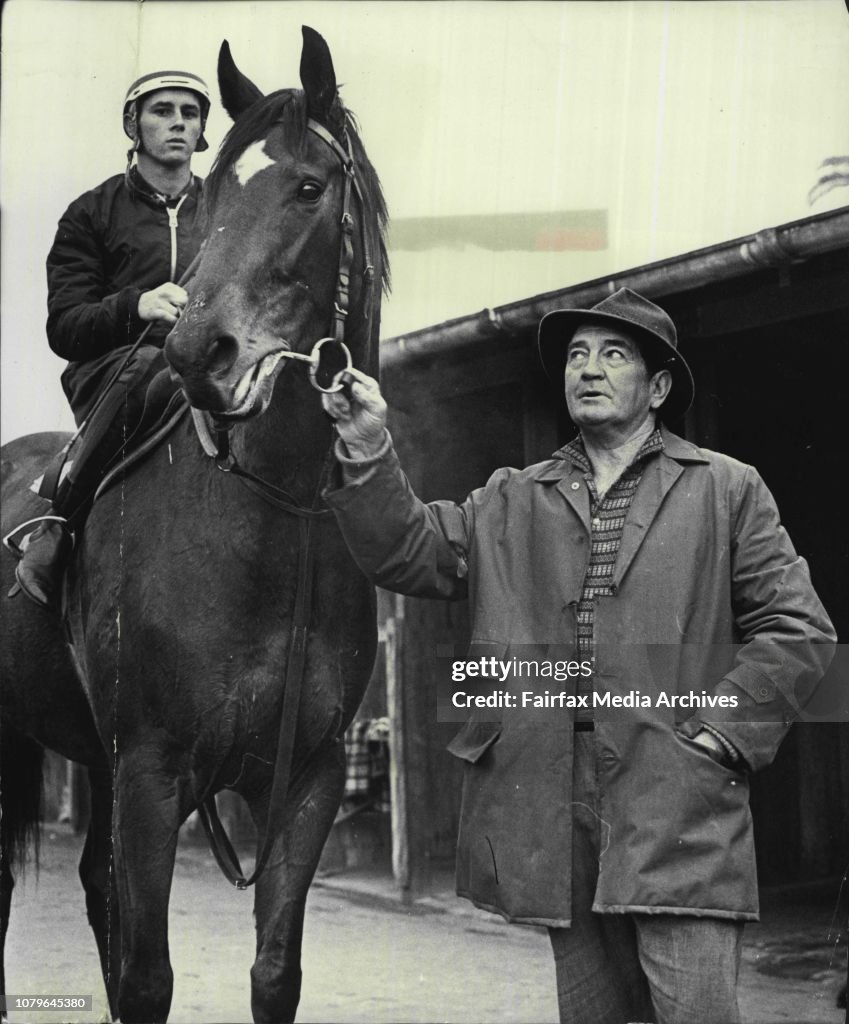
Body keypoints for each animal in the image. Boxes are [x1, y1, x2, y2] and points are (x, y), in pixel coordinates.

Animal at [0, 28, 389, 1019]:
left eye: (307, 187)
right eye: (207, 196)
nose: (192, 351)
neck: (271, 518)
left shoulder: (304, 783)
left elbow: (274, 972)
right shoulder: (149, 776)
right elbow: (146, 977)